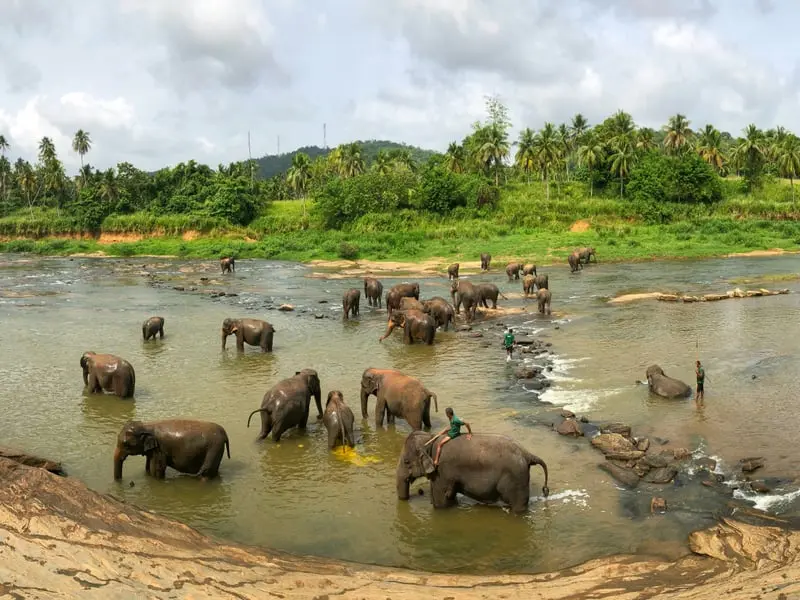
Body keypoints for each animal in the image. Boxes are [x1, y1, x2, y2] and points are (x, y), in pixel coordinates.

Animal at [396, 431, 549, 514]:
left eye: (406, 462)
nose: (418, 493)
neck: (431, 438)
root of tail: (527, 454)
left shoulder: (442, 471)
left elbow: (441, 500)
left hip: (517, 479)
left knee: (518, 505)